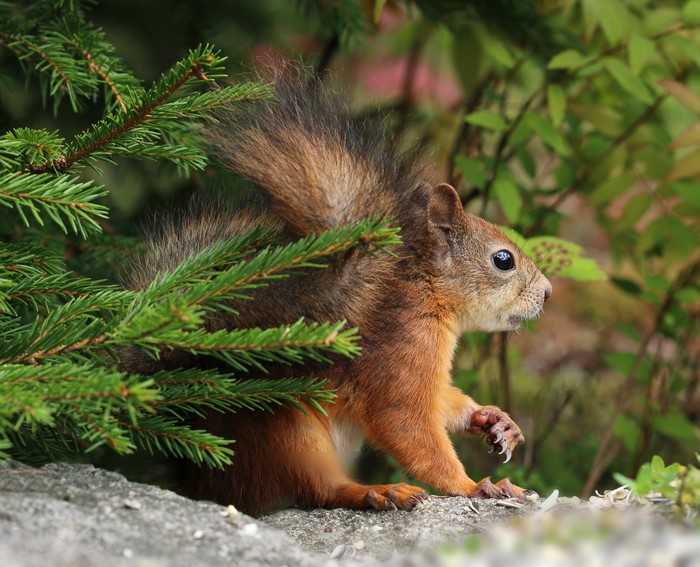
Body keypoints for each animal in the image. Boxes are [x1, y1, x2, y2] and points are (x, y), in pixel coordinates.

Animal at [124, 69, 553, 517]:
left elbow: (442, 401)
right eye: (503, 259)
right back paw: (378, 491)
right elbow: (406, 424)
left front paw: (493, 419)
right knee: (319, 489)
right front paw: (474, 485)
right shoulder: (400, 351)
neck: (424, 293)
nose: (548, 293)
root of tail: (206, 482)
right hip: (289, 430)